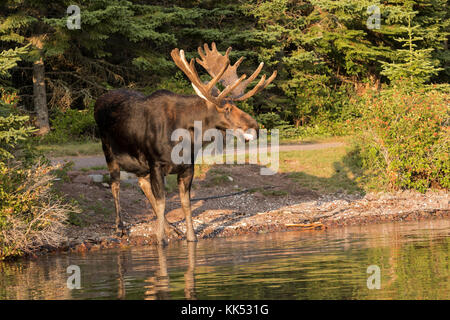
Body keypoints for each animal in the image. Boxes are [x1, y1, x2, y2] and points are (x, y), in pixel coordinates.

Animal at [94, 42, 276, 245]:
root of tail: (97, 101)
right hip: (108, 150)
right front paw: (160, 240)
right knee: (115, 184)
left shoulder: (188, 166)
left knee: (142, 183)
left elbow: (185, 204)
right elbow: (162, 202)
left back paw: (171, 228)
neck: (186, 139)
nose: (255, 127)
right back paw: (120, 228)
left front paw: (190, 237)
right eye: (227, 109)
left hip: (139, 163)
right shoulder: (156, 163)